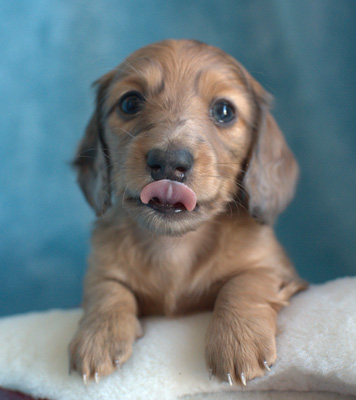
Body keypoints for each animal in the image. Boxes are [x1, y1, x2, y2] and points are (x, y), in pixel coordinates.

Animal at [69, 39, 306, 386]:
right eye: (129, 103)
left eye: (224, 111)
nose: (169, 162)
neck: (175, 246)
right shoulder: (101, 267)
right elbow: (106, 289)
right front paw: (98, 336)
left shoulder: (277, 269)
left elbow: (246, 282)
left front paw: (238, 341)